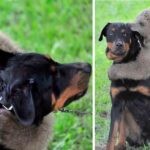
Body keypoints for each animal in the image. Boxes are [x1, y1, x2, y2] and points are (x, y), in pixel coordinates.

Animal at [98, 22, 150, 150]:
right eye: (111, 33)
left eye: (125, 33)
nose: (119, 44)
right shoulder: (117, 103)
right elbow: (112, 134)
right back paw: (120, 145)